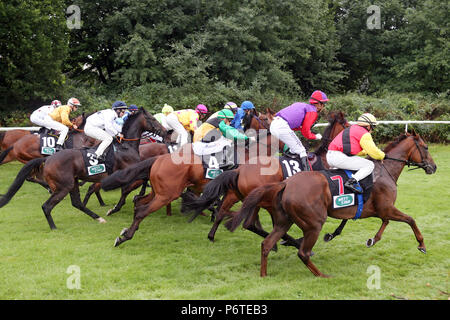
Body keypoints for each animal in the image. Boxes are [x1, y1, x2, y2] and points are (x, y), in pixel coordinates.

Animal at [0, 109, 166, 229]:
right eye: (152, 119)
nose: (166, 132)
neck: (125, 147)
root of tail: (48, 159)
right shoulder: (127, 173)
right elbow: (131, 187)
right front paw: (120, 206)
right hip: (63, 186)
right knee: (46, 205)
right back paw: (54, 226)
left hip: (71, 182)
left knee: (76, 203)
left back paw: (98, 218)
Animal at [229, 130, 436, 278]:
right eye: (425, 147)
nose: (433, 167)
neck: (384, 171)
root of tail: (286, 183)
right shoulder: (385, 208)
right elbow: (410, 219)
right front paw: (421, 245)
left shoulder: (373, 210)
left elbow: (383, 222)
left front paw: (371, 239)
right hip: (313, 223)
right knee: (303, 252)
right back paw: (321, 274)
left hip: (284, 220)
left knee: (266, 243)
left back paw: (264, 274)